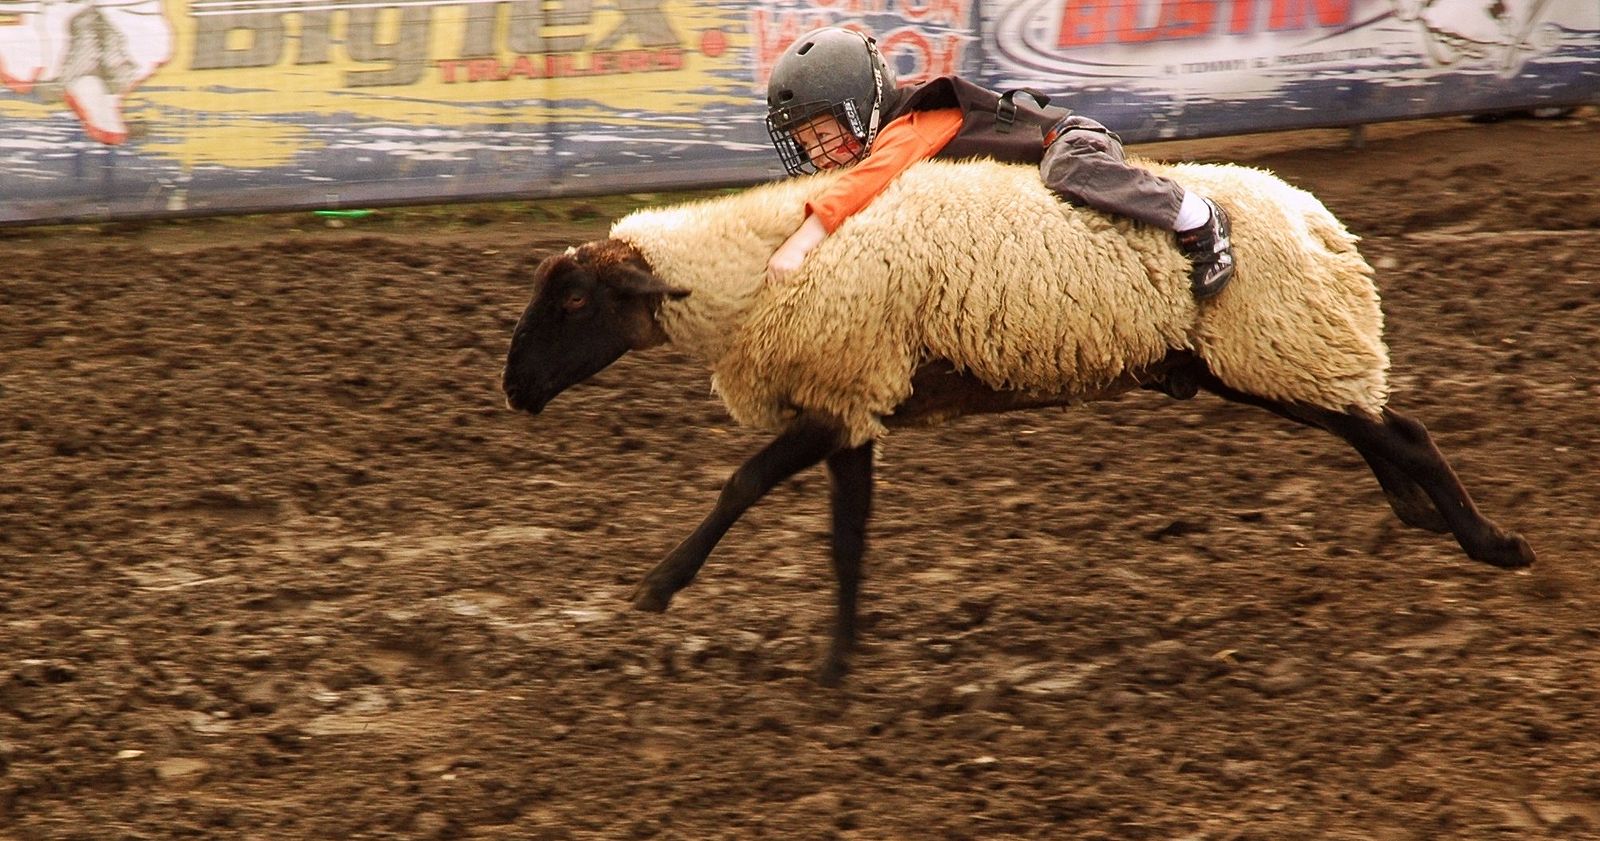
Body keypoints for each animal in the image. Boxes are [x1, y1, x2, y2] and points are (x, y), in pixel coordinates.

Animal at [502, 156, 1536, 684]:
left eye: (571, 303)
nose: (512, 392)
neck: (755, 264)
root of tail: (1322, 222)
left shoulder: (840, 388)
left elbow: (742, 483)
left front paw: (659, 588)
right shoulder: (855, 398)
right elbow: (847, 536)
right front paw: (839, 660)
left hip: (1272, 342)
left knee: (1398, 431)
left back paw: (1494, 544)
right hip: (1262, 359)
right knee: (1369, 423)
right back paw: (1422, 514)